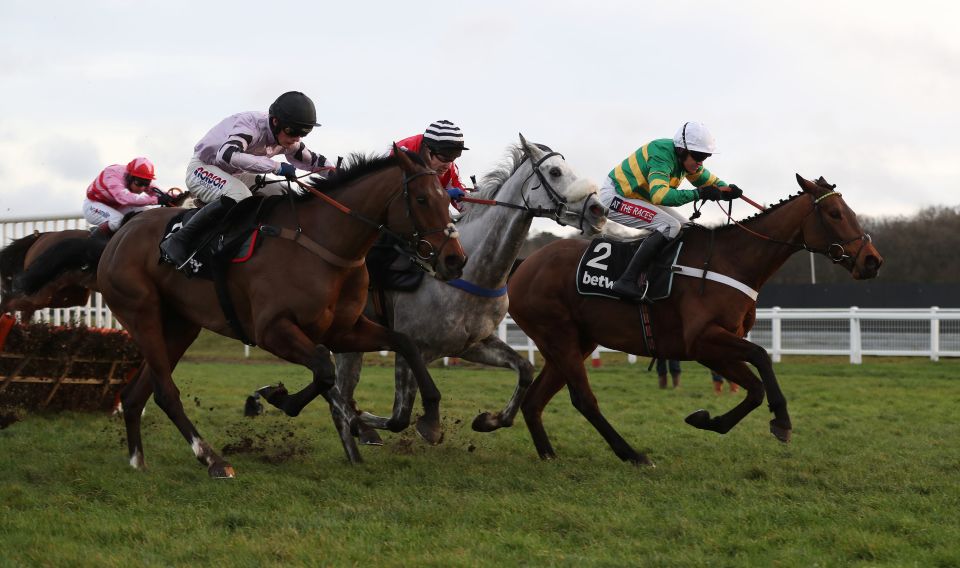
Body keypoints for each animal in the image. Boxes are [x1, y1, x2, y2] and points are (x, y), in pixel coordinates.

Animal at [99, 149, 466, 478]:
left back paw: (138, 460)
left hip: (180, 326)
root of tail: (121, 234)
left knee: (136, 394)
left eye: (446, 200)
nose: (455, 260)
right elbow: (323, 368)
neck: (325, 245)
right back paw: (212, 459)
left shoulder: (343, 330)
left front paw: (426, 420)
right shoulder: (271, 331)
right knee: (165, 392)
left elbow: (404, 343)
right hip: (142, 314)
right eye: (421, 199)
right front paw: (280, 397)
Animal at [506, 174, 880, 466]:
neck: (733, 261)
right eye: (834, 213)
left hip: (575, 342)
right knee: (584, 400)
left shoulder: (714, 347)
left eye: (849, 212)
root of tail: (524, 264)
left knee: (535, 400)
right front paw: (782, 420)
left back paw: (548, 454)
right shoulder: (703, 340)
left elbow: (755, 388)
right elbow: (761, 358)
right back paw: (632, 454)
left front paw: (706, 419)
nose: (872, 261)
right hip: (560, 337)